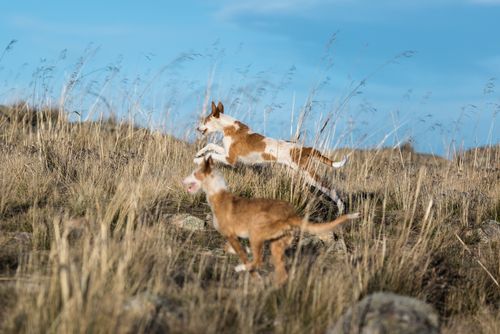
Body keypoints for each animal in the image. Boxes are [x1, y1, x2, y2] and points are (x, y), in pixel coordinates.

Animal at [184, 158, 360, 284]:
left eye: (194, 173)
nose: (182, 181)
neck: (218, 194)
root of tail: (291, 215)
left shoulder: (231, 235)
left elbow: (242, 254)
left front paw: (249, 268)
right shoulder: (233, 237)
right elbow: (230, 248)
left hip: (256, 233)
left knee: (259, 262)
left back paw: (242, 269)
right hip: (277, 246)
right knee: (281, 274)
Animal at [194, 100, 348, 213]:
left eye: (205, 120)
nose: (197, 128)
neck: (229, 127)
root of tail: (305, 148)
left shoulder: (230, 158)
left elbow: (212, 153)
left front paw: (199, 159)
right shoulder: (226, 152)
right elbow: (210, 146)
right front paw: (198, 154)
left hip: (308, 174)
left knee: (330, 189)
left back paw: (341, 208)